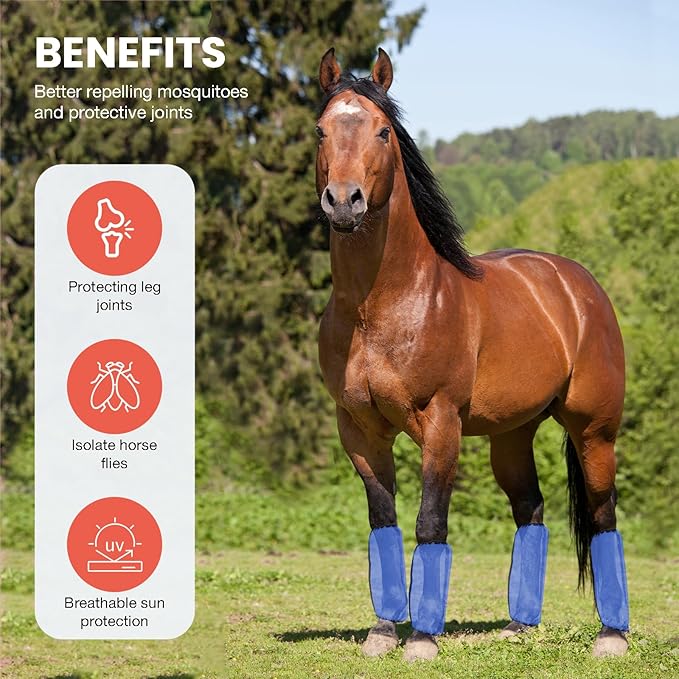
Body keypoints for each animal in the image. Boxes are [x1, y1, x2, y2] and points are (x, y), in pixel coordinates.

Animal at [315, 47, 630, 662]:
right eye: (319, 131)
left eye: (383, 131)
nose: (344, 202)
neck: (381, 307)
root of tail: (577, 284)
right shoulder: (359, 431)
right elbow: (383, 523)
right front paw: (383, 632)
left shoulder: (441, 424)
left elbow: (429, 523)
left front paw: (422, 641)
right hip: (512, 435)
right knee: (530, 510)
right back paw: (520, 626)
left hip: (594, 431)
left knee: (603, 513)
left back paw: (612, 636)